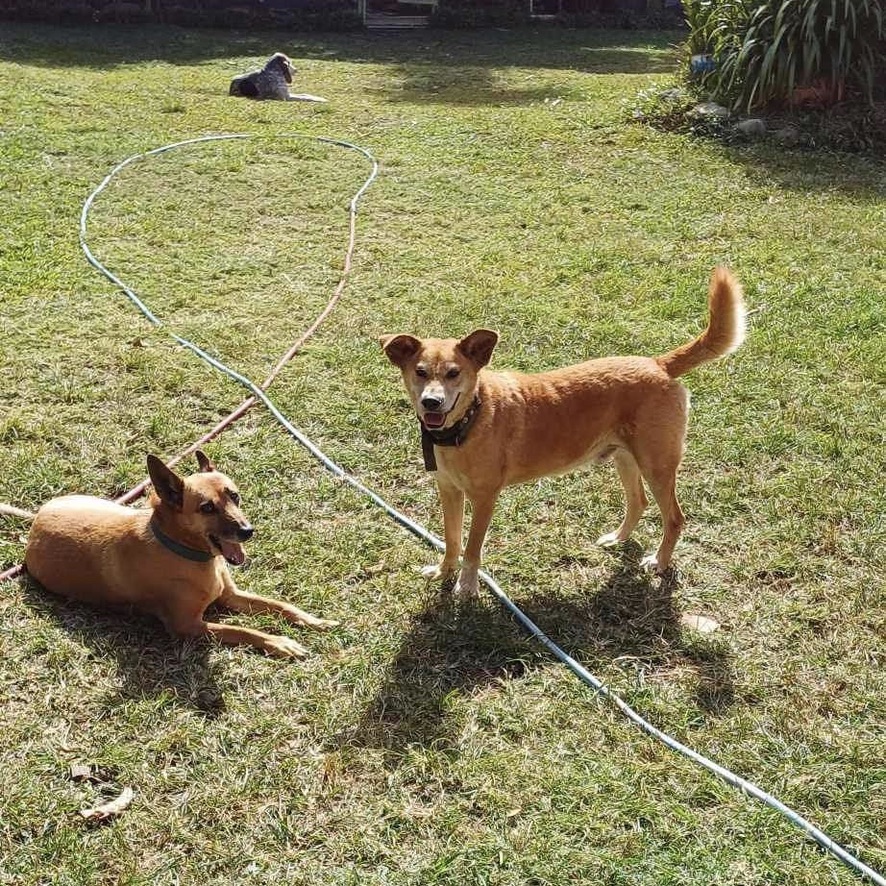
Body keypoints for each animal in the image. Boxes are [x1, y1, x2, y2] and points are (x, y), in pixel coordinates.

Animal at [2, 454, 336, 656]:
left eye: (235, 495)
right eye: (206, 508)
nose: (247, 531)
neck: (188, 552)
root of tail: (37, 517)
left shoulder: (231, 596)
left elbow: (281, 605)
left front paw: (313, 620)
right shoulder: (187, 626)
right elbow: (242, 629)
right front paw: (280, 642)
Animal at [384, 268, 748, 592]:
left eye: (454, 373)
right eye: (420, 372)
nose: (432, 403)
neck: (469, 420)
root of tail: (658, 364)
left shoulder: (485, 498)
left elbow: (472, 548)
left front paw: (466, 586)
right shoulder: (448, 490)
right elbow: (451, 539)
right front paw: (444, 571)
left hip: (656, 465)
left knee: (674, 518)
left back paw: (659, 562)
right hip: (626, 458)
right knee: (638, 501)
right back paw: (618, 538)